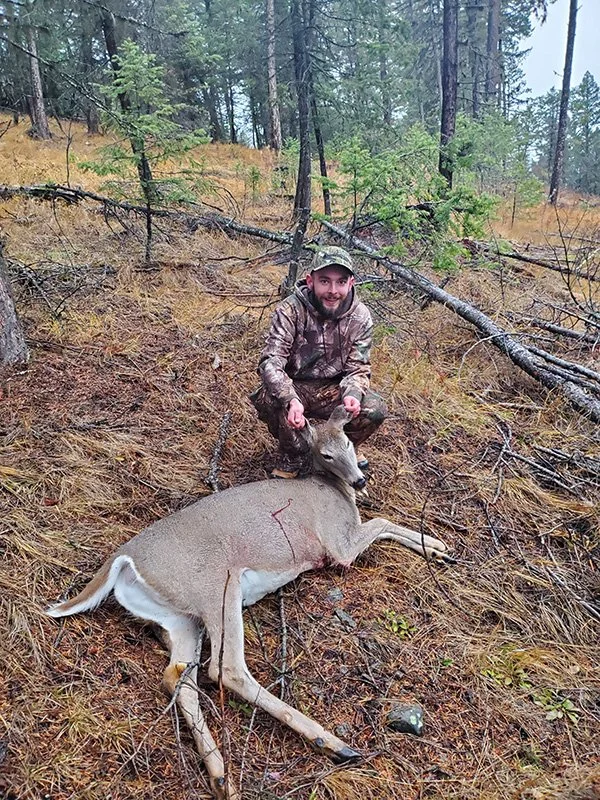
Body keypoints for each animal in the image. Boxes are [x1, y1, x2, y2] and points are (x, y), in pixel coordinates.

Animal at [47, 405, 450, 799]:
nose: (359, 481)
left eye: (349, 442)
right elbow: (382, 522)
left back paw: (221, 777)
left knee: (177, 676)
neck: (333, 491)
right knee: (225, 670)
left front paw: (438, 548)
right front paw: (439, 547)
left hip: (182, 619)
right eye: (326, 453)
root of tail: (123, 557)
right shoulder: (338, 546)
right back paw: (332, 743)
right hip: (218, 588)